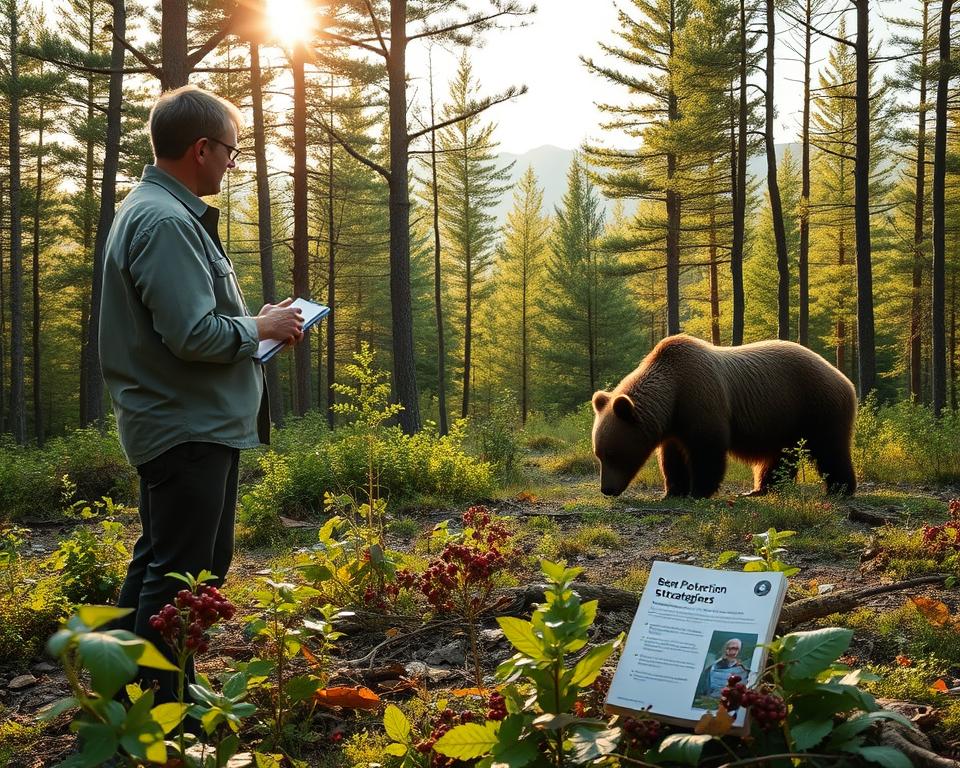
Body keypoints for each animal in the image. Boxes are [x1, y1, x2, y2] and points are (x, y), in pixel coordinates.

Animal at [591, 335, 857, 498]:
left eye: (612, 454)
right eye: (598, 454)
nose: (607, 489)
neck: (672, 394)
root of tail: (844, 378)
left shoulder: (701, 398)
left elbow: (707, 449)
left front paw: (699, 490)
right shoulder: (674, 425)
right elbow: (672, 458)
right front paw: (674, 490)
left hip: (815, 405)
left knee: (830, 448)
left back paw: (841, 488)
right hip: (784, 420)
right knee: (780, 455)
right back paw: (763, 488)